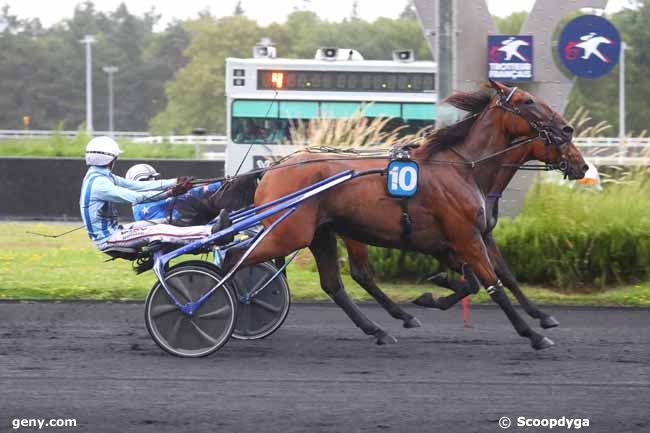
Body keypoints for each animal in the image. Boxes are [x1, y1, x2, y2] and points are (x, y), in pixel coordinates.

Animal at [220, 81, 584, 350]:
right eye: (527, 101)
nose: (567, 131)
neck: (464, 168)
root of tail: (271, 168)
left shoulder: (470, 237)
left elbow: (495, 276)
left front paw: (434, 292)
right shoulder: (466, 238)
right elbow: (491, 283)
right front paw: (534, 334)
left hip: (321, 234)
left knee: (334, 284)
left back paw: (379, 329)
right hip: (289, 234)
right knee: (235, 260)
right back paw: (225, 305)